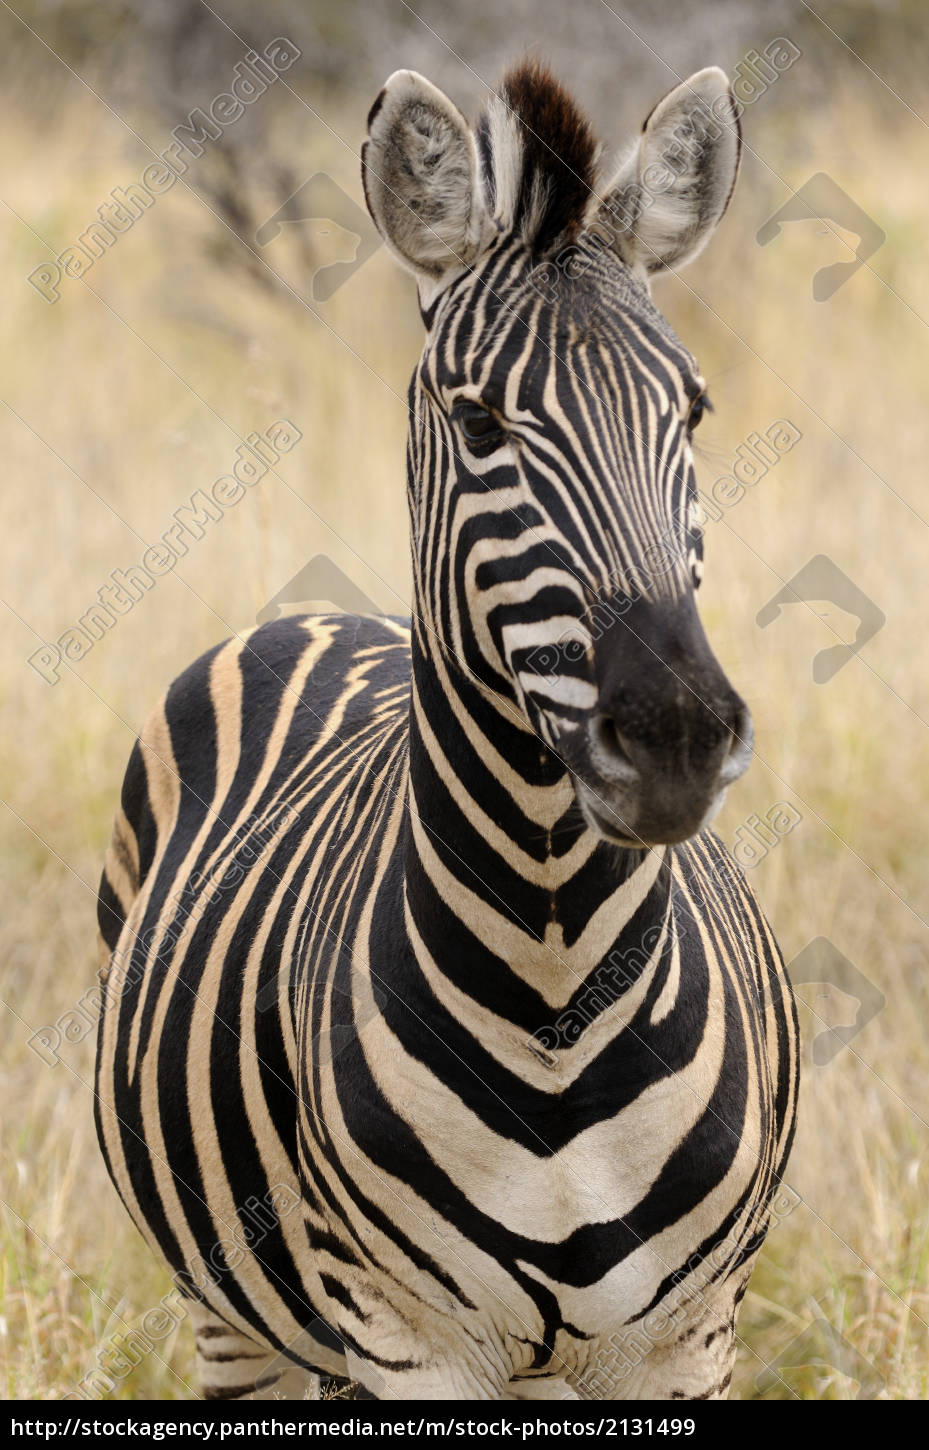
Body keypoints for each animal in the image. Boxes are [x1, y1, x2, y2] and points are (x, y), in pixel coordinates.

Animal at [97, 59, 800, 1403]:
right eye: (478, 427)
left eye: (691, 413)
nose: (676, 735)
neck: (556, 986)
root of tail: (325, 613)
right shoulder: (403, 1336)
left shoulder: (684, 1340)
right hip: (235, 1317)